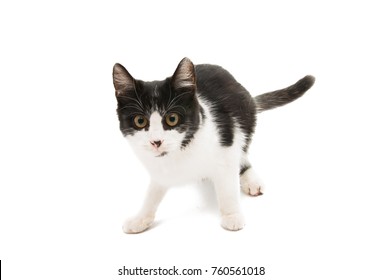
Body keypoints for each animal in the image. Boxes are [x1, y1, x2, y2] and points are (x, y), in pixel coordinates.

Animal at [113, 58, 314, 233]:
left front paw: (231, 215)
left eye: (172, 118)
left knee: (242, 152)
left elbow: (227, 187)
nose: (156, 141)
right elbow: (152, 193)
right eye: (140, 121)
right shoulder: (159, 170)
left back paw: (251, 180)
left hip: (244, 119)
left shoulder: (226, 145)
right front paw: (140, 218)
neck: (180, 150)